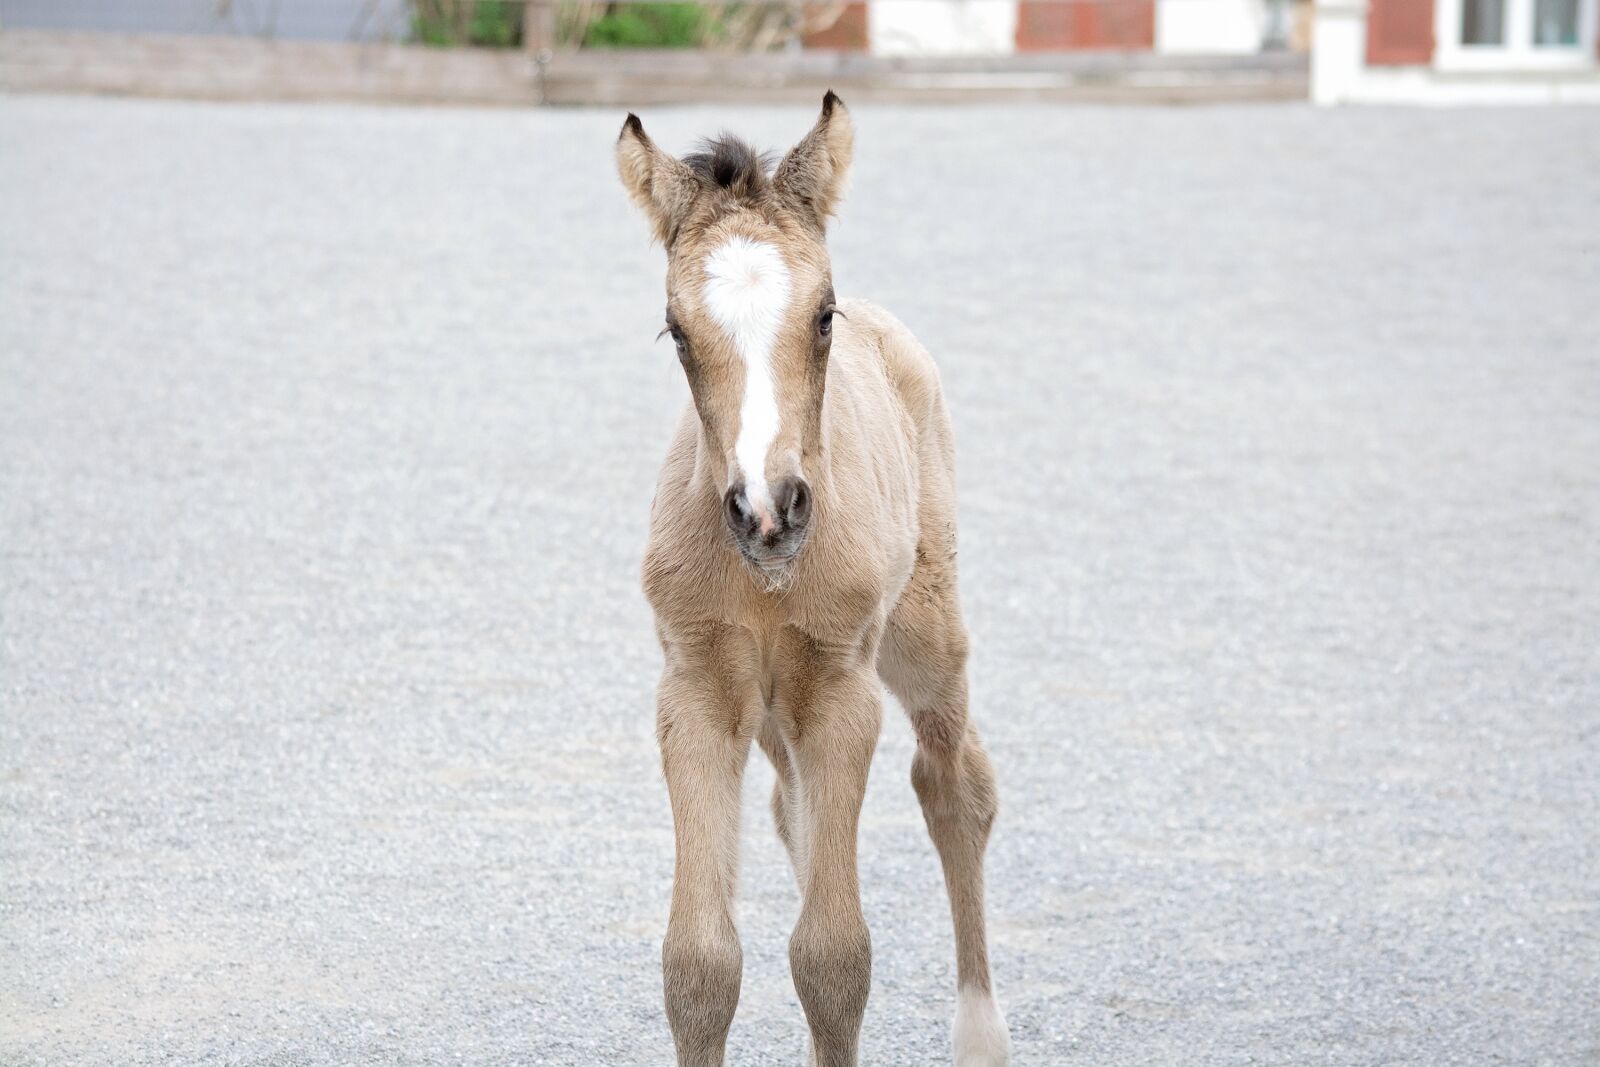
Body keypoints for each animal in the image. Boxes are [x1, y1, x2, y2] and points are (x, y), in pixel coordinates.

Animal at [616, 91, 1009, 1067]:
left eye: (822, 316)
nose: (770, 509)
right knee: (791, 808)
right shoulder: (696, 688)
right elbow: (699, 962)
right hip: (773, 703)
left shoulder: (840, 686)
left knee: (956, 783)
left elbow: (833, 955)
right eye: (676, 330)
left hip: (922, 633)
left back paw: (981, 1032)